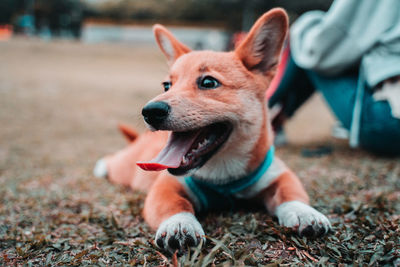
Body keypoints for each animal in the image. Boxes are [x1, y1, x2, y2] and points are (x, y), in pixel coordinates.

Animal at [94, 8, 332, 254]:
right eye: (167, 86)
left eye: (208, 82)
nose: (150, 111)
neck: (223, 177)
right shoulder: (165, 187)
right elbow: (175, 205)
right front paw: (179, 224)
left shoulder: (279, 174)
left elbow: (291, 193)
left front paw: (304, 213)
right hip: (125, 168)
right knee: (113, 160)